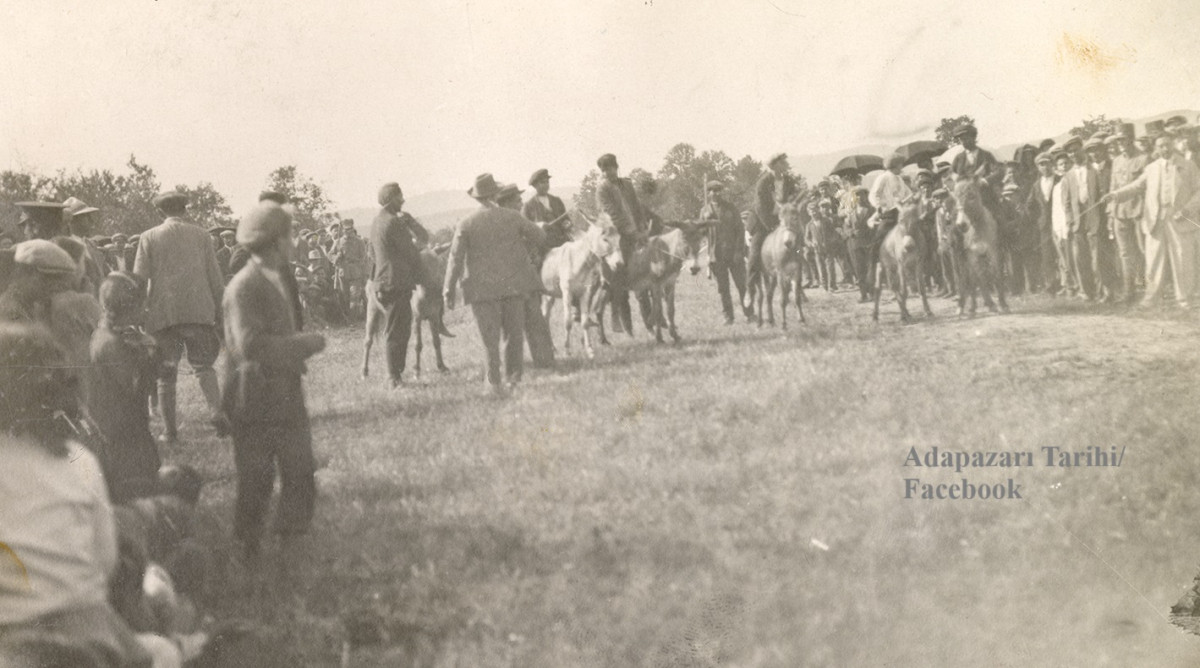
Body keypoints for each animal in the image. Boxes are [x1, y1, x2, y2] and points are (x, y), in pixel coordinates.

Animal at [950, 178, 1008, 316]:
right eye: (955, 199)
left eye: (972, 196)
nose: (961, 224)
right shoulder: (972, 255)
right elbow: (980, 279)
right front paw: (992, 304)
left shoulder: (994, 252)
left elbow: (997, 276)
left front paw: (1003, 305)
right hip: (961, 257)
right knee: (966, 279)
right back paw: (964, 307)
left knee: (974, 279)